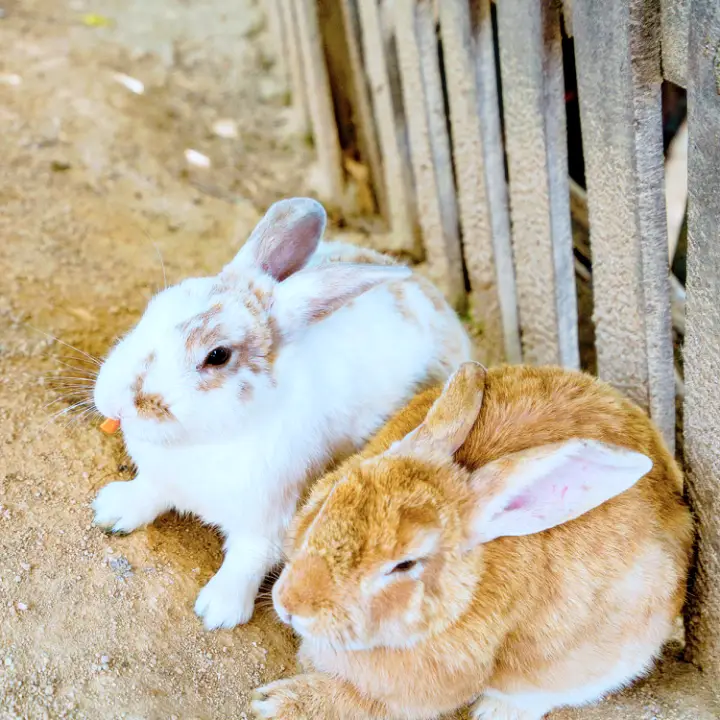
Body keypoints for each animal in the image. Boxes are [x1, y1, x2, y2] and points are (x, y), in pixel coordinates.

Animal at [91, 198, 472, 632]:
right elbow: (149, 493)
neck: (207, 440)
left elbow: (248, 560)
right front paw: (111, 510)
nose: (116, 403)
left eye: (217, 355)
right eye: (155, 306)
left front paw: (218, 610)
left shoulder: (271, 519)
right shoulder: (160, 478)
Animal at [253, 366, 692, 720]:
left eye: (405, 564)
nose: (291, 604)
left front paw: (274, 705)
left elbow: (363, 704)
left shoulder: (421, 693)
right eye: (333, 495)